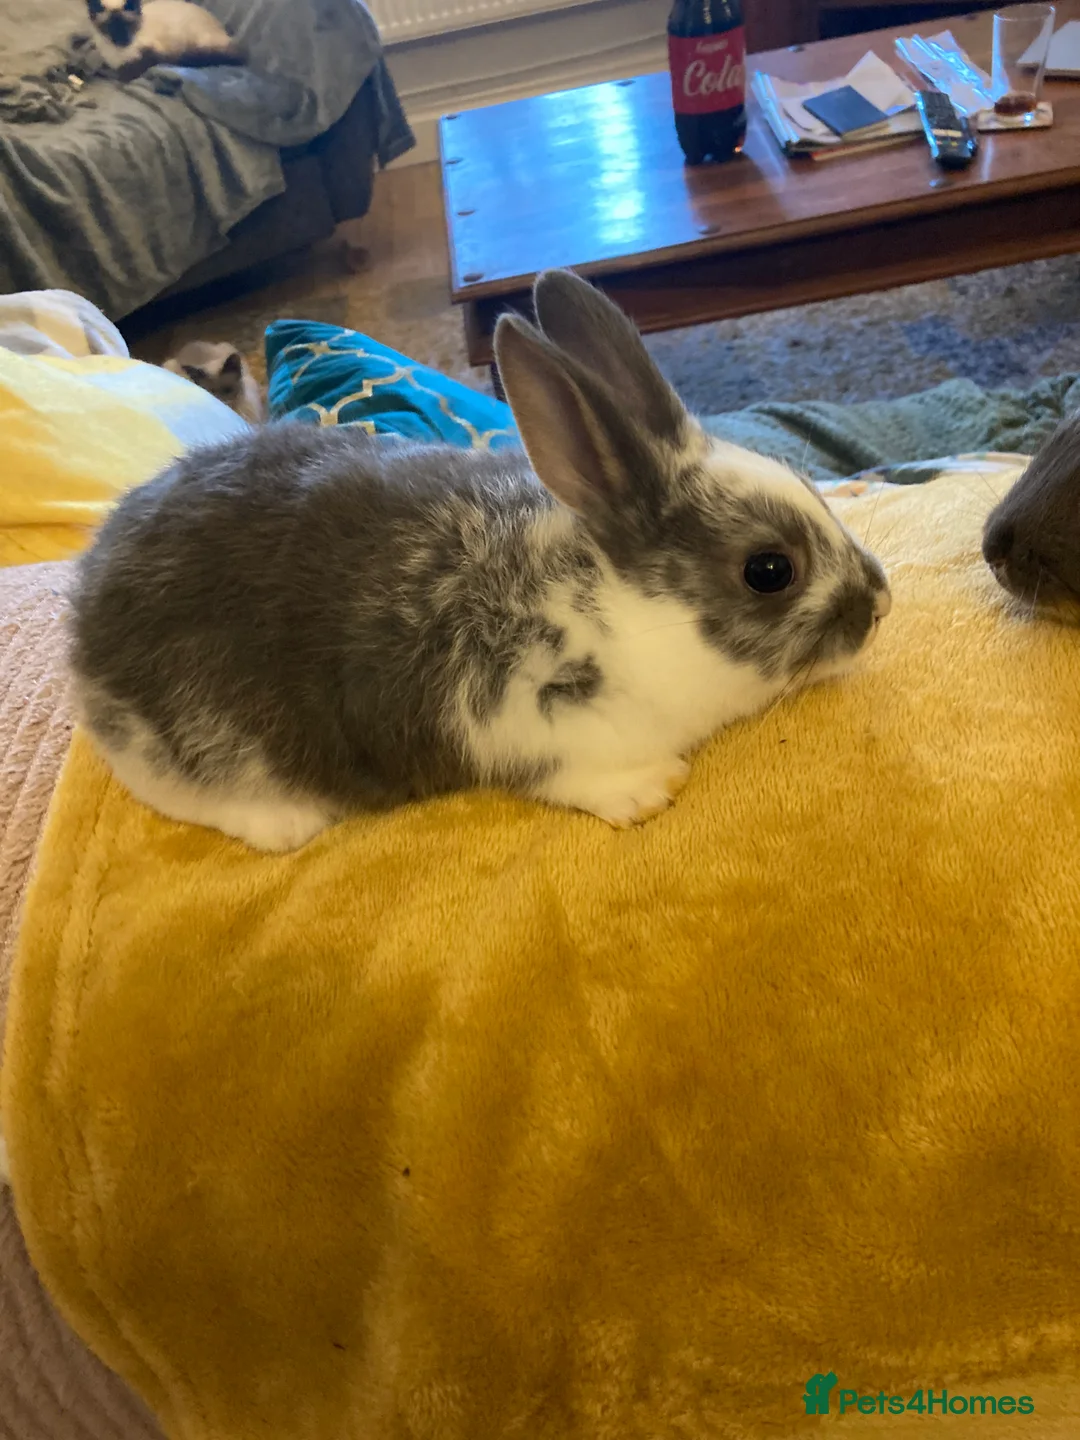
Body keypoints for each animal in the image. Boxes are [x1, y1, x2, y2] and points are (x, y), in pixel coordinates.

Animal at [68, 269, 891, 853]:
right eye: (769, 571)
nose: (879, 602)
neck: (619, 616)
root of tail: (85, 616)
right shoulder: (520, 721)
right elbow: (573, 774)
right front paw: (648, 792)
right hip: (194, 740)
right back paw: (285, 822)